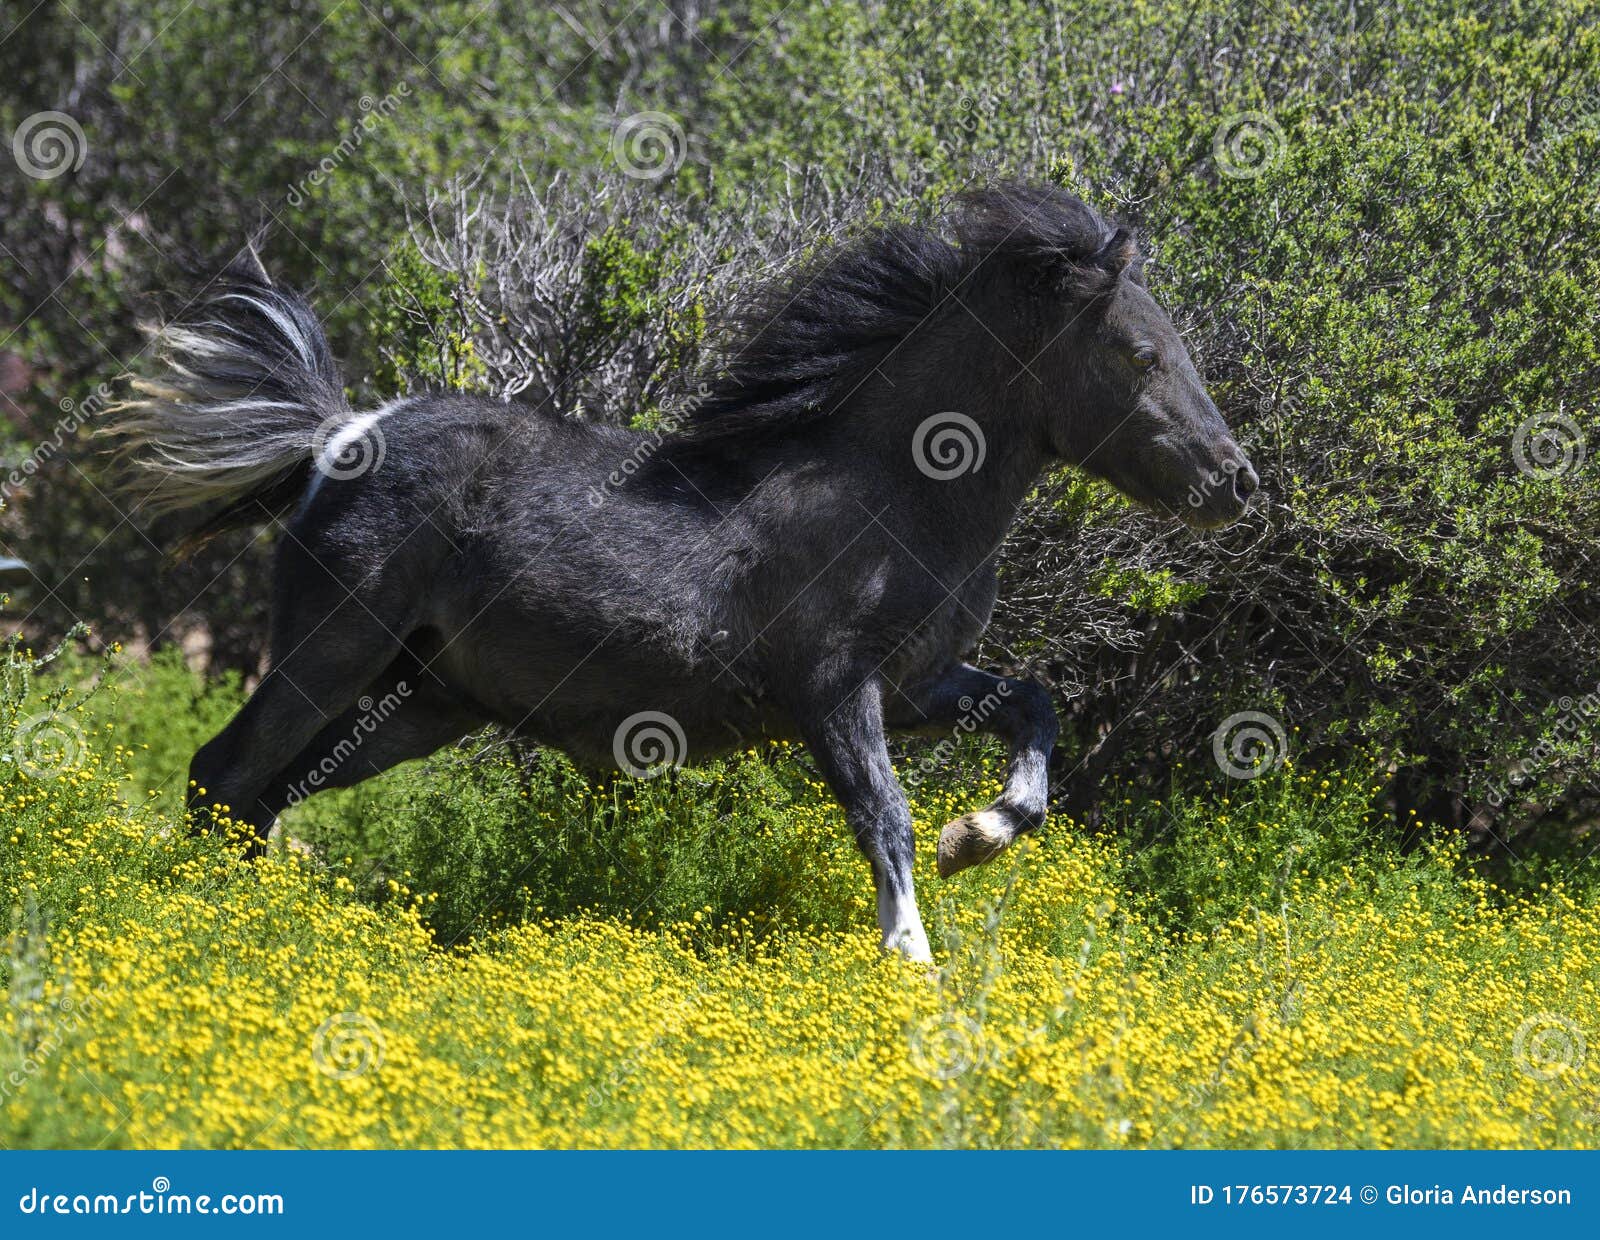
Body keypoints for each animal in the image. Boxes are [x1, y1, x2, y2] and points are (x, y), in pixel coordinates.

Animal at [112, 182, 1258, 963]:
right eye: (1140, 354)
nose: (1234, 482)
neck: (892, 491)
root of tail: (338, 436)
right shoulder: (831, 689)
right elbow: (879, 815)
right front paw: (912, 962)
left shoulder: (920, 682)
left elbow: (1033, 706)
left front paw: (975, 837)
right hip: (332, 650)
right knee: (222, 772)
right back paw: (197, 923)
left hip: (415, 701)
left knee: (262, 794)